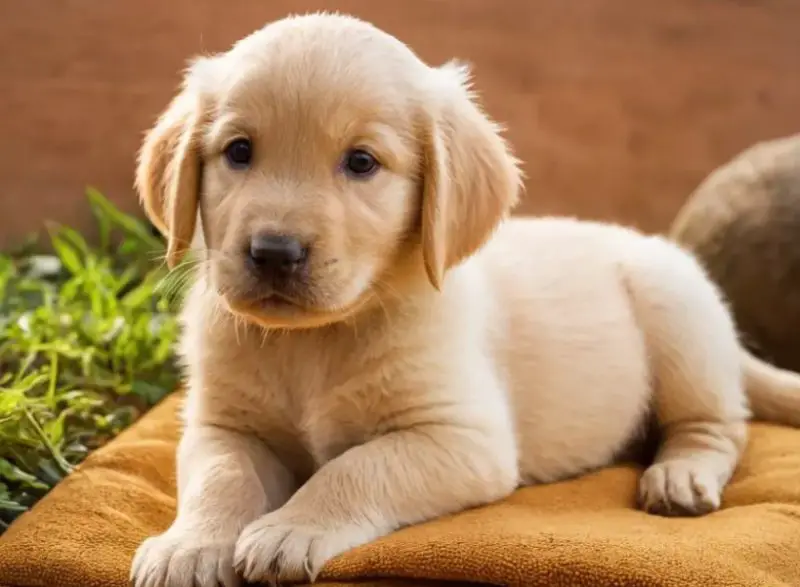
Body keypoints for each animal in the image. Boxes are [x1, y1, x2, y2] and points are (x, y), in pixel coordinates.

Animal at [128, 12, 800, 587]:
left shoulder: (462, 439)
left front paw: (291, 526)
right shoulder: (223, 425)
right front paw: (190, 546)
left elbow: (355, 467)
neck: (318, 340)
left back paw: (681, 473)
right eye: (239, 151)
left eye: (362, 161)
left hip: (680, 323)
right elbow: (222, 477)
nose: (273, 251)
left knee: (719, 426)